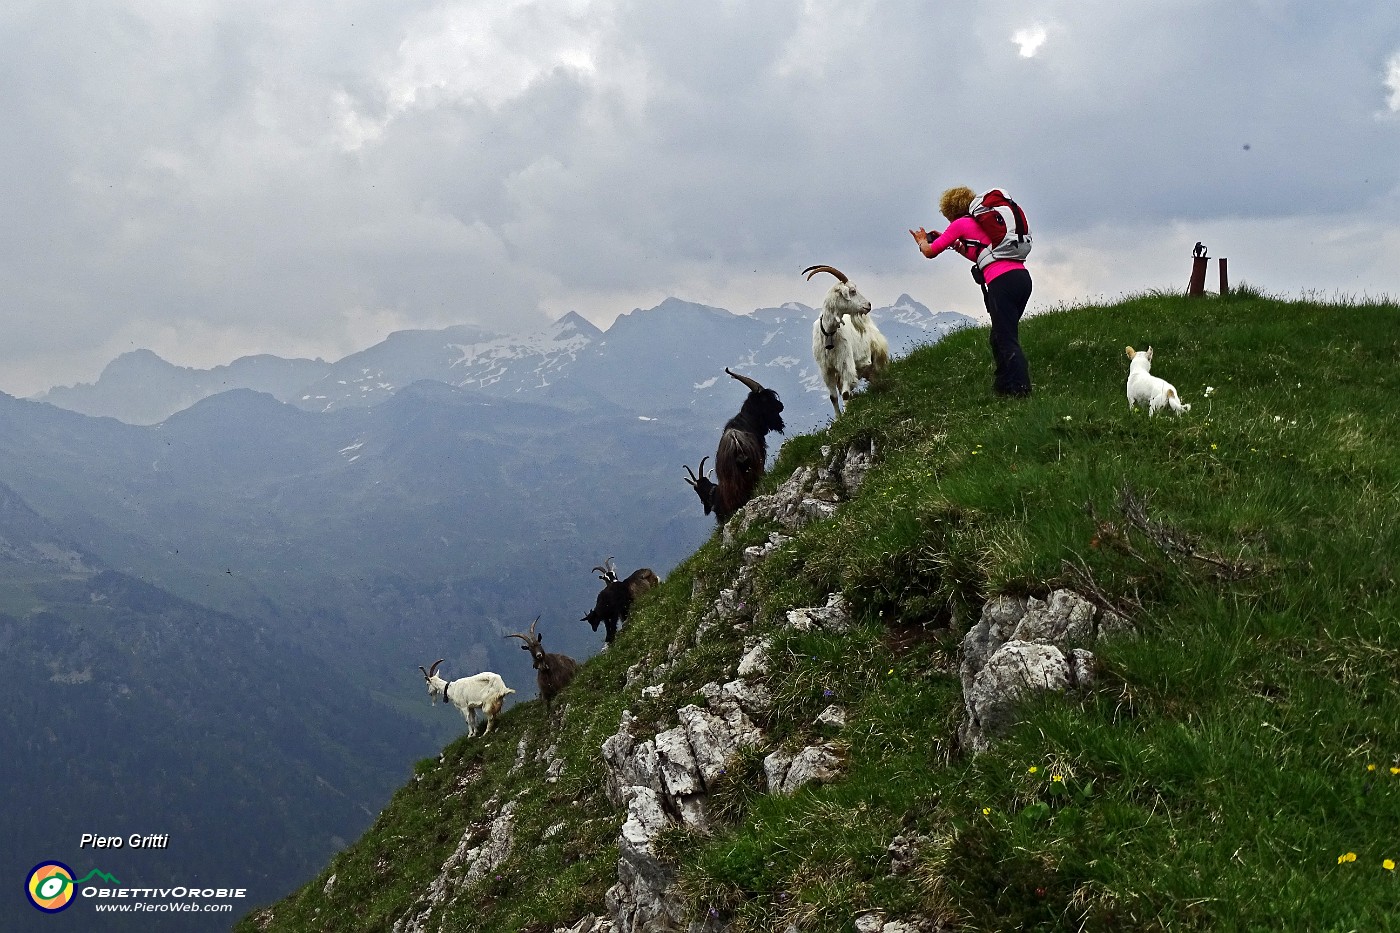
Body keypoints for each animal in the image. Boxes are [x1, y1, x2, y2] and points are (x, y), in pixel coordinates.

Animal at [806, 264, 890, 417]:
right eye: (852, 291)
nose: (868, 305)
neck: (829, 334)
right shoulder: (826, 369)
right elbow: (833, 397)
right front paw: (838, 419)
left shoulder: (845, 364)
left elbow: (845, 394)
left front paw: (847, 416)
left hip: (877, 356)